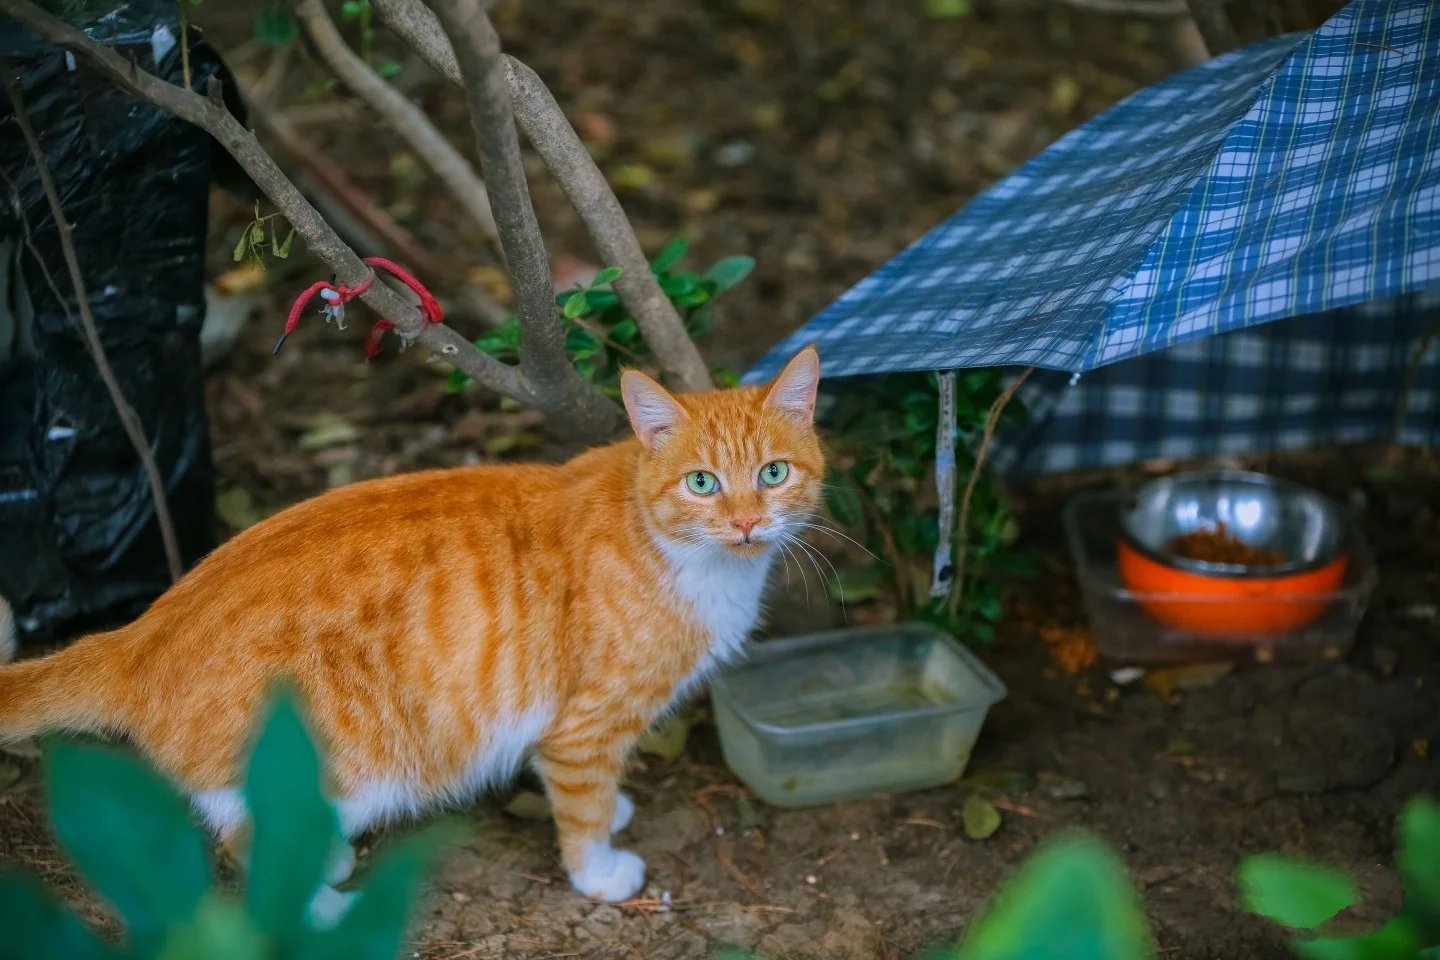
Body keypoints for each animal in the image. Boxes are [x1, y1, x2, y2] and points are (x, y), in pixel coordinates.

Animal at [0, 351, 823, 915]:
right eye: (702, 483)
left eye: (774, 473)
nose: (747, 523)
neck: (673, 545)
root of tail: (136, 636)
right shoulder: (584, 728)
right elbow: (583, 809)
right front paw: (600, 873)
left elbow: (595, 789)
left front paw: (616, 809)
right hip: (348, 766)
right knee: (250, 845)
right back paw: (326, 909)